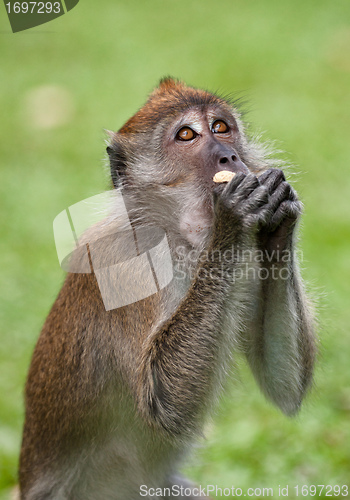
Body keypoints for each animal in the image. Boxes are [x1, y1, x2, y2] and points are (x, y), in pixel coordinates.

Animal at [18, 78, 314, 500]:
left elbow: (283, 386)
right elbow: (162, 401)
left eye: (221, 127)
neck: (177, 237)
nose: (229, 156)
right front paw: (231, 217)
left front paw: (280, 216)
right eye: (187, 135)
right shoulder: (126, 265)